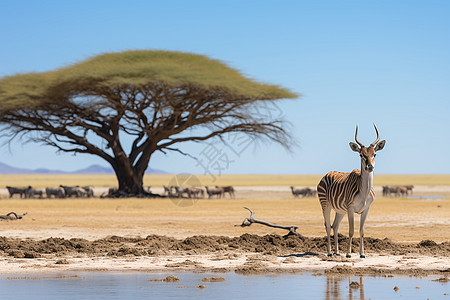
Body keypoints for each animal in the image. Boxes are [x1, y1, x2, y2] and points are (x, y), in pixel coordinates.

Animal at [316, 123, 386, 258]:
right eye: (361, 155)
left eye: (374, 154)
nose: (370, 167)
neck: (363, 192)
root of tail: (327, 174)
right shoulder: (350, 208)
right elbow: (351, 231)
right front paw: (348, 254)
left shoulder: (366, 209)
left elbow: (362, 231)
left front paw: (362, 254)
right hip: (325, 205)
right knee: (327, 225)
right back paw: (330, 252)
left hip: (340, 210)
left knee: (335, 226)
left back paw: (337, 252)